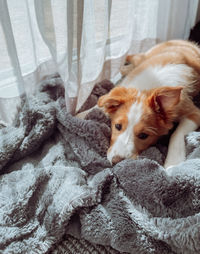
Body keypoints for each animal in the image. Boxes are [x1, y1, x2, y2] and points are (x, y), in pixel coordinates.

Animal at [97, 39, 200, 169]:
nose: (116, 162)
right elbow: (98, 105)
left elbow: (177, 133)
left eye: (143, 136)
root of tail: (183, 42)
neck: (147, 88)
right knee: (132, 58)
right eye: (118, 126)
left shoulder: (194, 112)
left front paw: (173, 163)